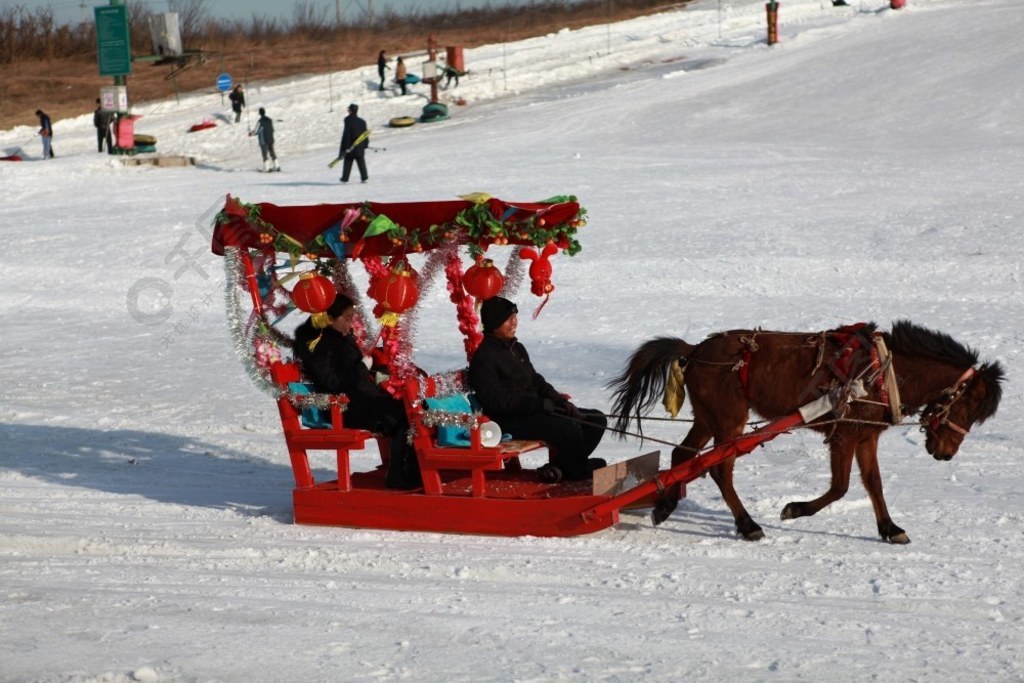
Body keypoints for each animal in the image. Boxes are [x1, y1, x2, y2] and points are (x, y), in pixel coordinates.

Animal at [610, 321, 1003, 544]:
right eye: (969, 406)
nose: (946, 453)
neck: (882, 372)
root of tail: (694, 351)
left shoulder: (866, 435)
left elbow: (873, 484)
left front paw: (890, 529)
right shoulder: (845, 434)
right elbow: (840, 487)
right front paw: (794, 509)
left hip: (709, 418)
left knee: (683, 455)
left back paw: (666, 504)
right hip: (729, 421)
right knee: (720, 468)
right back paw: (747, 525)